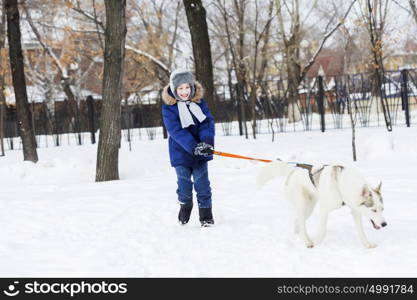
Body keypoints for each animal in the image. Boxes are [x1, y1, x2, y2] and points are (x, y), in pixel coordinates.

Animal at [256, 162, 386, 248]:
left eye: (382, 209)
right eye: (374, 210)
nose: (384, 224)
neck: (341, 184)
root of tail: (293, 171)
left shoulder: (355, 211)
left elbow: (361, 231)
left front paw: (368, 244)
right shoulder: (324, 209)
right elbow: (323, 230)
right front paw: (316, 242)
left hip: (309, 208)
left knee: (297, 221)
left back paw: (299, 235)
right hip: (303, 205)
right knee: (301, 223)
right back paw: (307, 241)